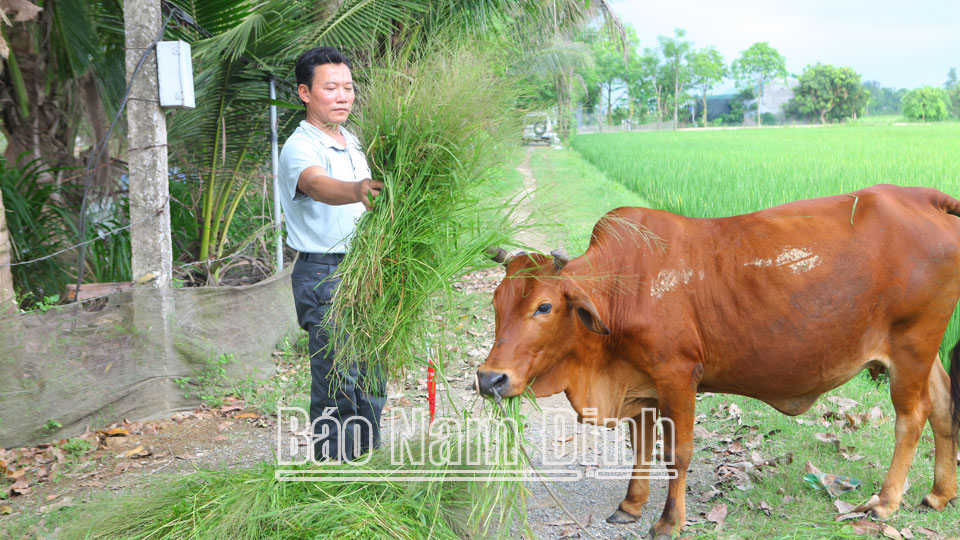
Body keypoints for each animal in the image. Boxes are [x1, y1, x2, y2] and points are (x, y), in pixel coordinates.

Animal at [478, 186, 960, 540]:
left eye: (543, 307)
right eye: (496, 302)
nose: (489, 378)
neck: (622, 287)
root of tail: (922, 197)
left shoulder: (676, 375)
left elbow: (678, 451)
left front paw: (668, 521)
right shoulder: (641, 383)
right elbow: (641, 447)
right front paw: (630, 505)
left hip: (910, 345)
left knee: (912, 417)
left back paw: (886, 502)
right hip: (924, 348)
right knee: (942, 407)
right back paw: (939, 495)